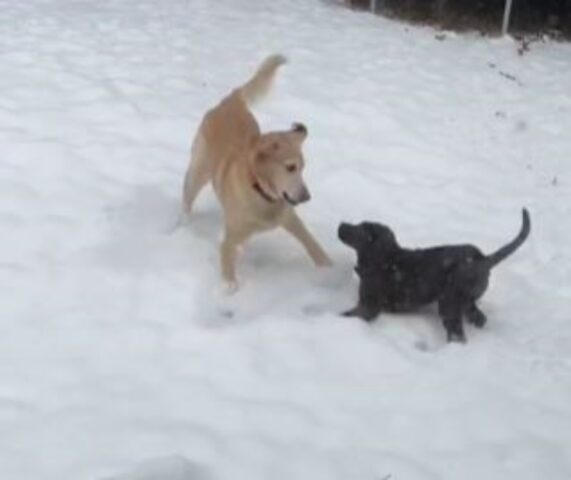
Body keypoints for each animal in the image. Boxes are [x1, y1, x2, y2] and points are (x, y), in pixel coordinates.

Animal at [340, 210, 532, 342]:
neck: (384, 259)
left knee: (457, 334)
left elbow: (351, 315)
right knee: (479, 318)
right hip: (466, 301)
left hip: (449, 302)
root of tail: (483, 259)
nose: (341, 224)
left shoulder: (368, 305)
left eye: (360, 228)